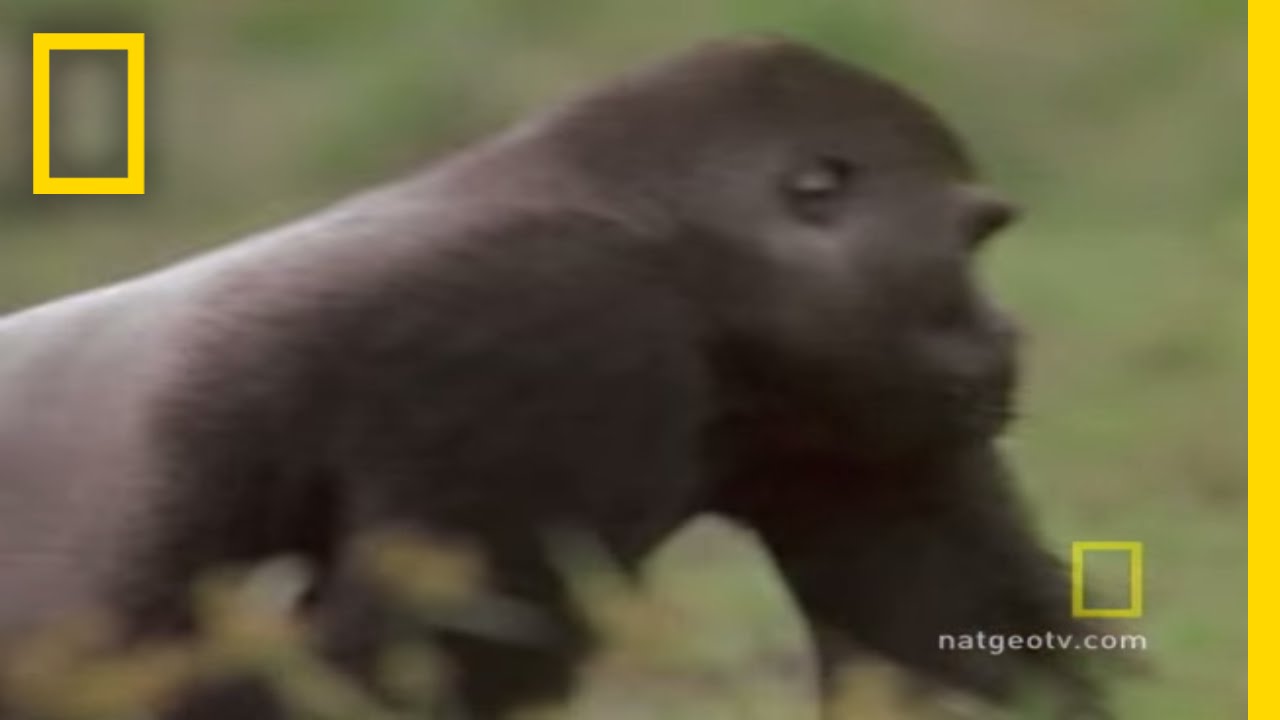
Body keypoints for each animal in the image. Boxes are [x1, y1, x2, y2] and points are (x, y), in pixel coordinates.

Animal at [0, 36, 1108, 718]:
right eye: (971, 247)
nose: (1004, 330)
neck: (664, 230)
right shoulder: (554, 330)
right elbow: (418, 657)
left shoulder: (842, 407)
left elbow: (946, 623)